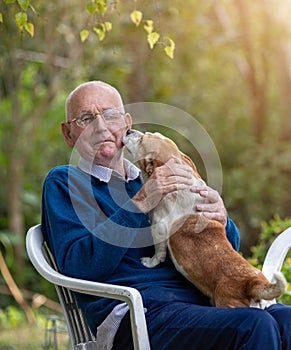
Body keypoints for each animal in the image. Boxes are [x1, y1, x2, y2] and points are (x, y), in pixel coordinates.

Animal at [124, 130, 288, 308]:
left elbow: (158, 253)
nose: (129, 131)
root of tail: (251, 283)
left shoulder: (158, 226)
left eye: (142, 140)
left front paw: (149, 262)